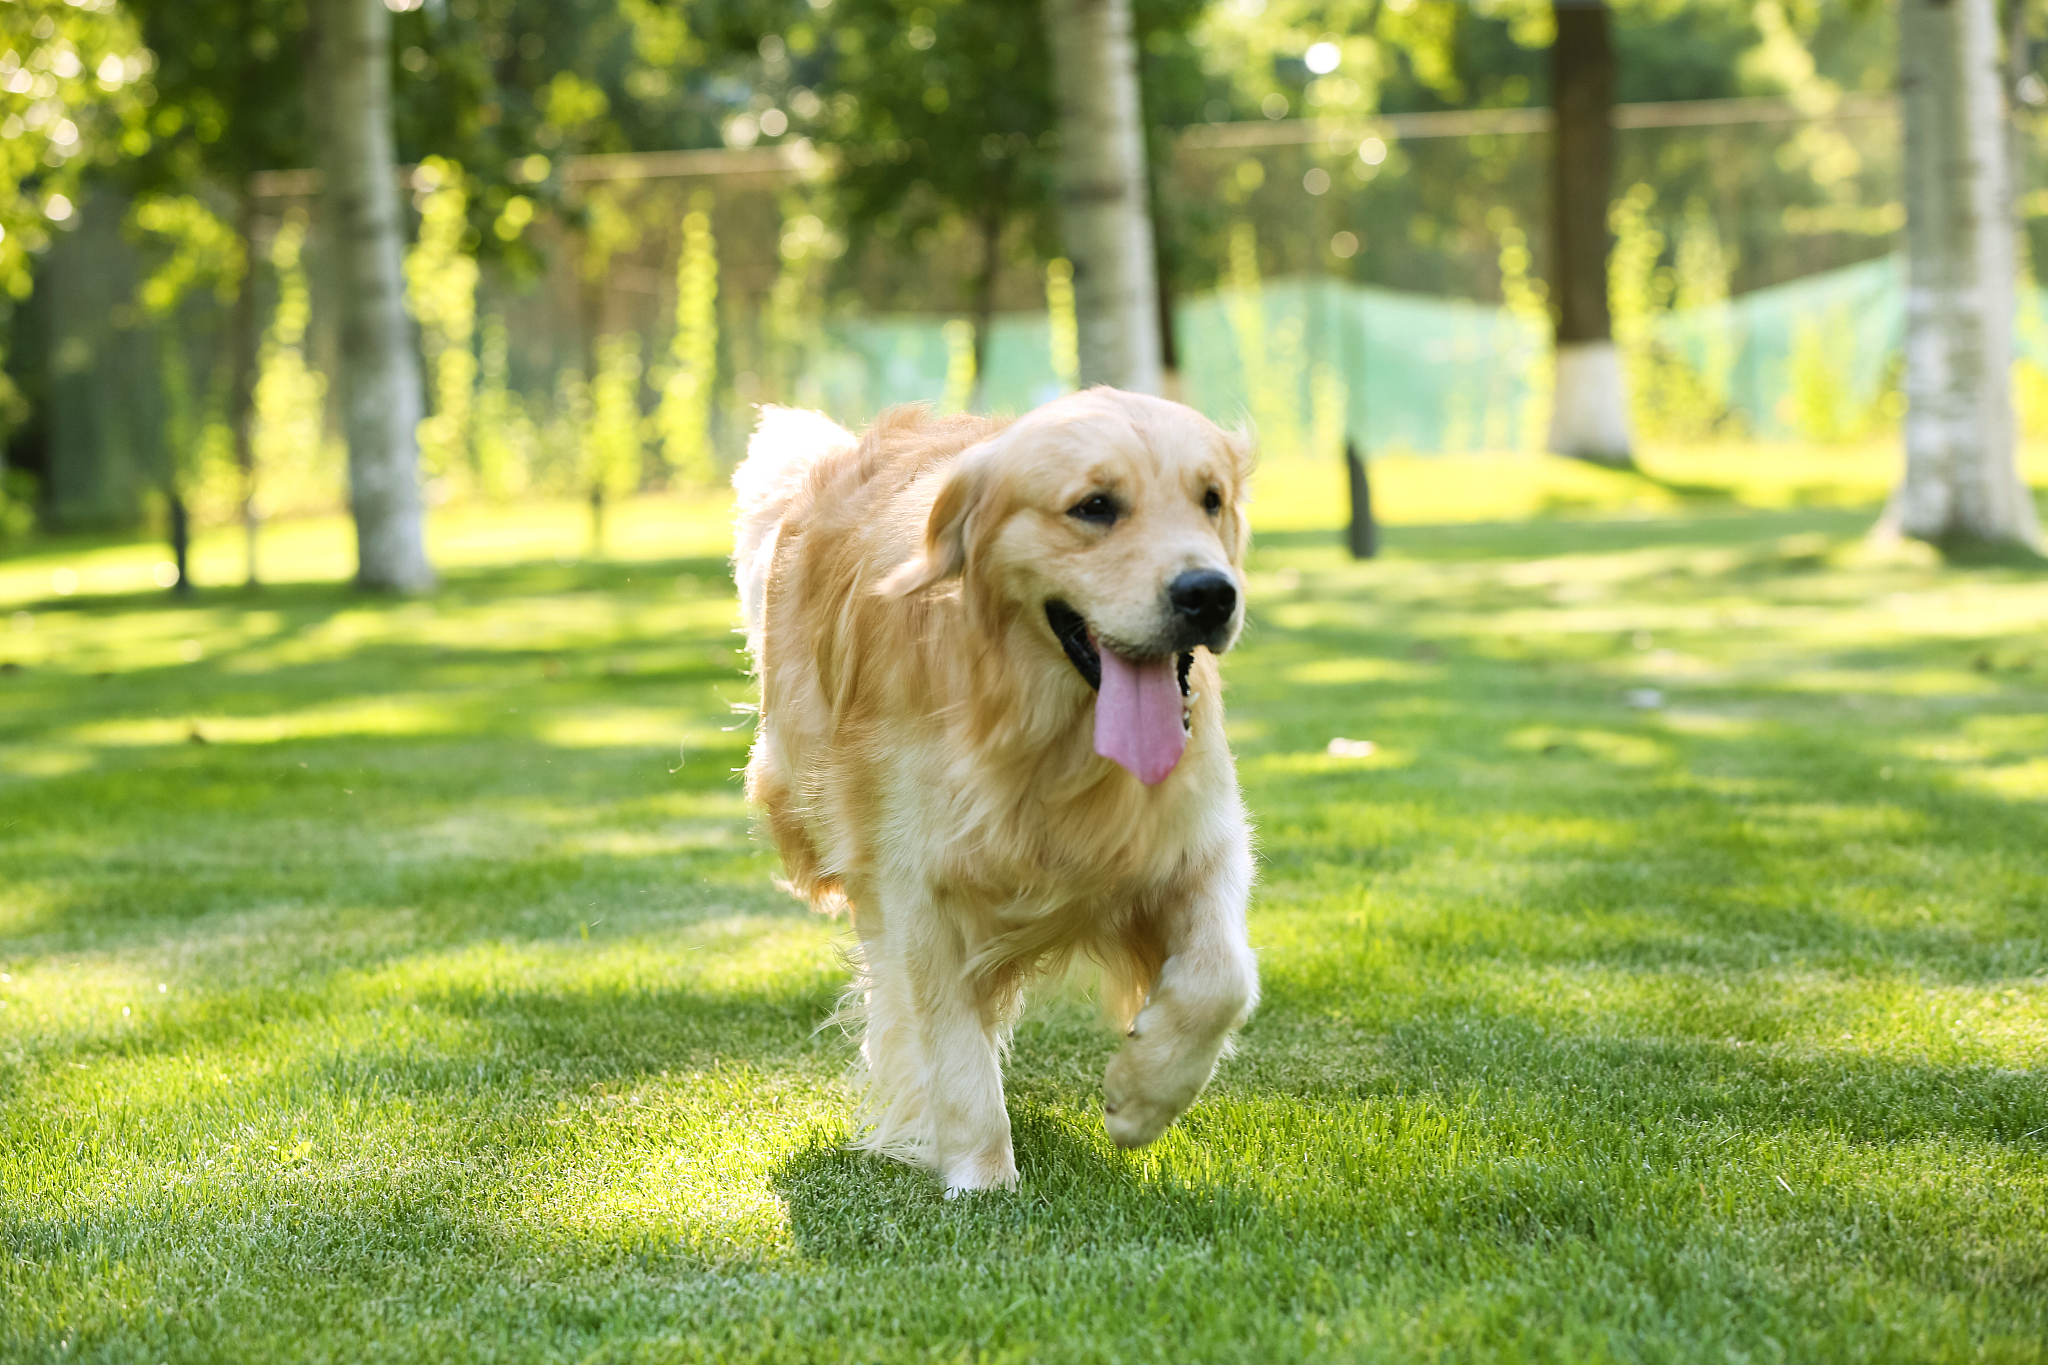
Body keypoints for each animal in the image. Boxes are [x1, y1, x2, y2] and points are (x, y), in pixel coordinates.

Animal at [729, 386, 1253, 1195]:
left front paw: (1143, 1095)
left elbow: (1222, 978)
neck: (1046, 742)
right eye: (1094, 506)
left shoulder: (1200, 835)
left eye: (1212, 499)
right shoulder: (918, 887)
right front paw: (983, 1178)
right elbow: (951, 1042)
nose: (1210, 595)